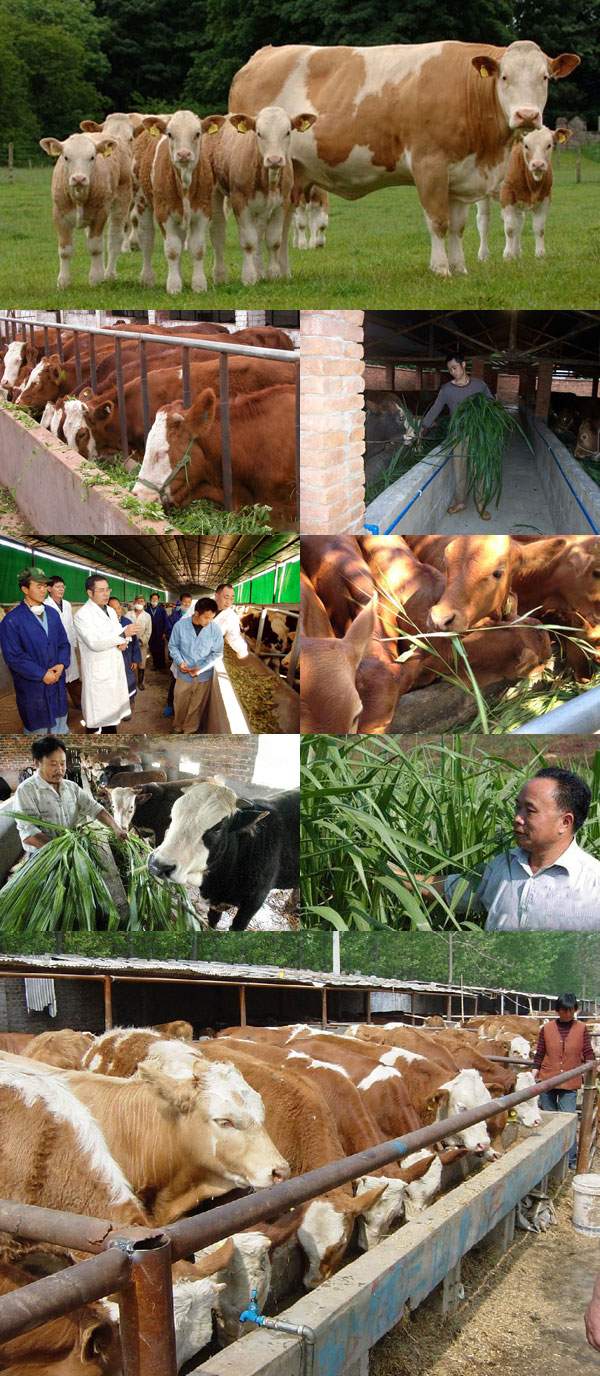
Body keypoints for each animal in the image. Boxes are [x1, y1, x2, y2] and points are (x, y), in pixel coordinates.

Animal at [227, 43, 577, 275]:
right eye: (504, 77)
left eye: (545, 77)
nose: (527, 115)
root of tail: (264, 53)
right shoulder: (430, 164)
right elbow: (438, 222)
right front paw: (441, 268)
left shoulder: (459, 173)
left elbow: (458, 227)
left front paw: (459, 267)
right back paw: (259, 274)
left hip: (292, 176)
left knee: (282, 224)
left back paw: (280, 273)